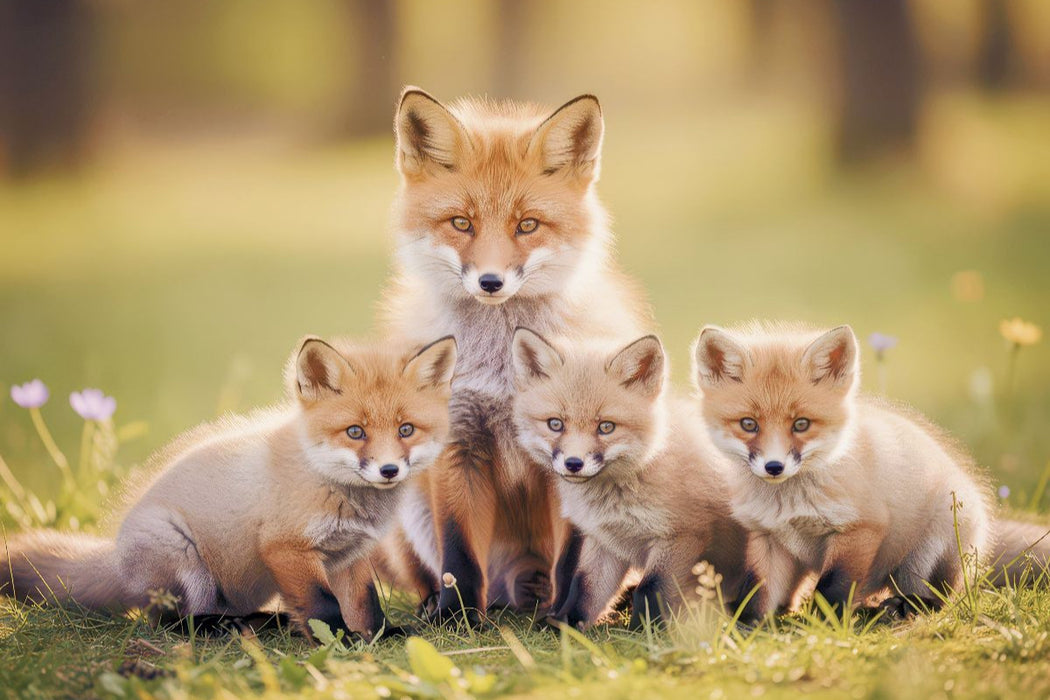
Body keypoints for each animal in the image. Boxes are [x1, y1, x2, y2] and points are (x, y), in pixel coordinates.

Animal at [1, 335, 457, 640]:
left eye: (406, 430)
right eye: (355, 432)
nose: (388, 470)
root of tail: (116, 558)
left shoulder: (349, 554)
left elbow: (366, 604)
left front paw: (381, 635)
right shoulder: (286, 548)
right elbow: (324, 606)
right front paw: (340, 641)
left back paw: (265, 622)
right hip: (187, 562)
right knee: (168, 621)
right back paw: (218, 627)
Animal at [380, 87, 652, 623]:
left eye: (527, 225)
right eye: (461, 223)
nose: (491, 282)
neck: (501, 367)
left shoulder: (570, 453)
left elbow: (574, 555)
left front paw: (566, 616)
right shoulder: (458, 443)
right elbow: (458, 552)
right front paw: (457, 616)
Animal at [510, 328, 751, 629]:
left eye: (606, 427)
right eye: (555, 424)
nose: (574, 464)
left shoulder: (682, 536)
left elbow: (650, 589)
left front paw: (646, 630)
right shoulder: (604, 541)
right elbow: (585, 588)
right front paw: (567, 625)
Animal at [692, 322, 1049, 619]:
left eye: (801, 424)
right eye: (748, 424)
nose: (774, 467)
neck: (790, 505)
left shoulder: (861, 528)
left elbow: (832, 586)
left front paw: (825, 625)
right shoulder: (768, 537)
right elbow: (759, 591)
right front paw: (747, 627)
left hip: (933, 545)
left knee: (941, 596)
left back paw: (905, 606)